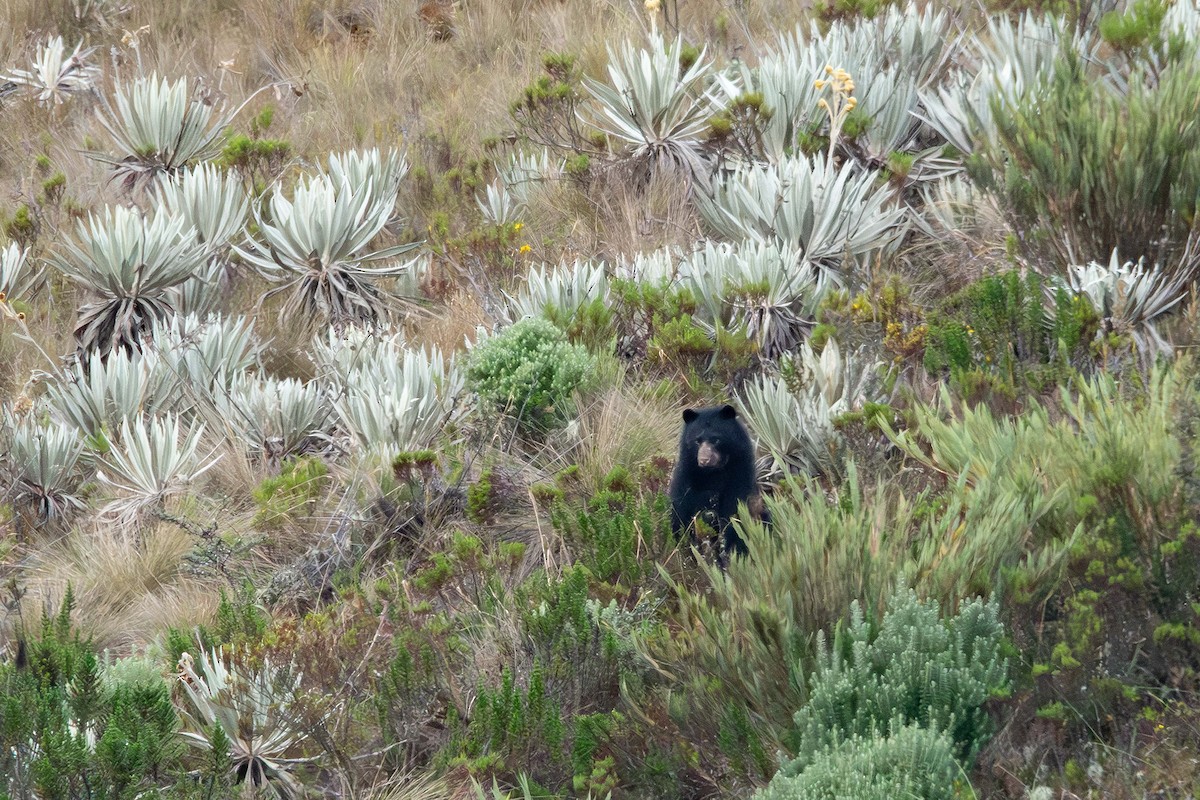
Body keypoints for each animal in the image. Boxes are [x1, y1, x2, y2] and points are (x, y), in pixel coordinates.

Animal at [668, 404, 767, 563]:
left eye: (716, 439)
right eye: (697, 441)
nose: (704, 460)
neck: (714, 473)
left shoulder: (740, 475)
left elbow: (734, 512)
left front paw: (729, 548)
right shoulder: (686, 477)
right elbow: (680, 510)